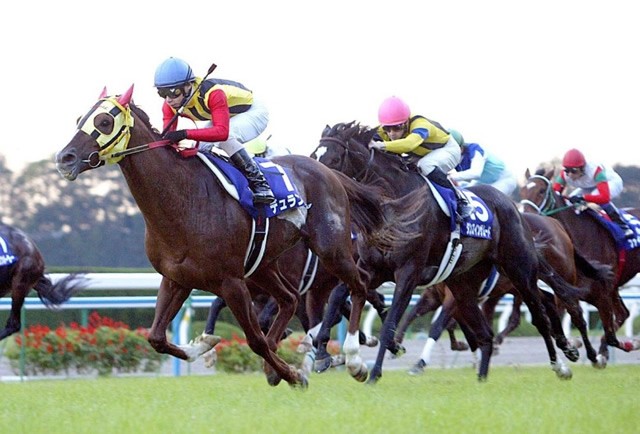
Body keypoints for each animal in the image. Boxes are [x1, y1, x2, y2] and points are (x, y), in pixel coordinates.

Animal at [55, 87, 396, 386]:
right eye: (79, 119)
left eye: (104, 122)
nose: (65, 158)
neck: (183, 199)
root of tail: (328, 172)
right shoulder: (177, 277)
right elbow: (156, 338)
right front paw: (203, 346)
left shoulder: (231, 282)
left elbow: (255, 340)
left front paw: (293, 374)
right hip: (262, 266)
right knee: (290, 298)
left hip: (330, 249)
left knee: (359, 284)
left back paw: (354, 360)